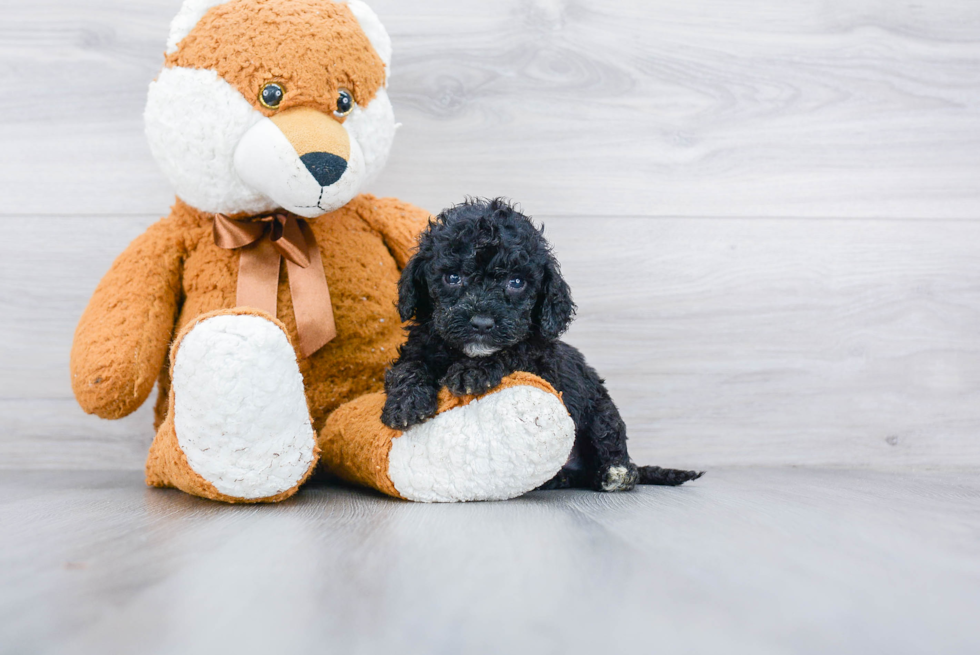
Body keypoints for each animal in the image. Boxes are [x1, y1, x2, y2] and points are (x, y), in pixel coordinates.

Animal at [378, 200, 700, 492]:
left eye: (516, 282)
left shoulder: (541, 360)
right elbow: (409, 366)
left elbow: (514, 350)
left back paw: (618, 474)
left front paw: (472, 371)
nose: (481, 322)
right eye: (452, 277)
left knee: (612, 441)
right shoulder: (420, 345)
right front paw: (406, 403)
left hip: (601, 408)